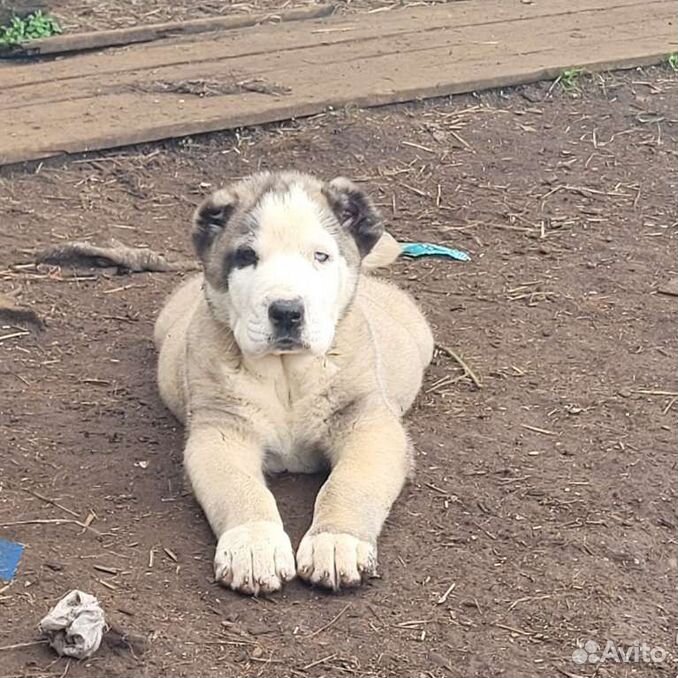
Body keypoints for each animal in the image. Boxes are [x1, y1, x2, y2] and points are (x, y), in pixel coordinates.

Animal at [155, 171, 432, 596]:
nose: (286, 311)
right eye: (246, 256)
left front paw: (336, 543)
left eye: (320, 256)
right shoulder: (221, 431)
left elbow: (350, 482)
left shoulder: (367, 423)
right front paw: (254, 547)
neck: (286, 372)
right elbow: (241, 488)